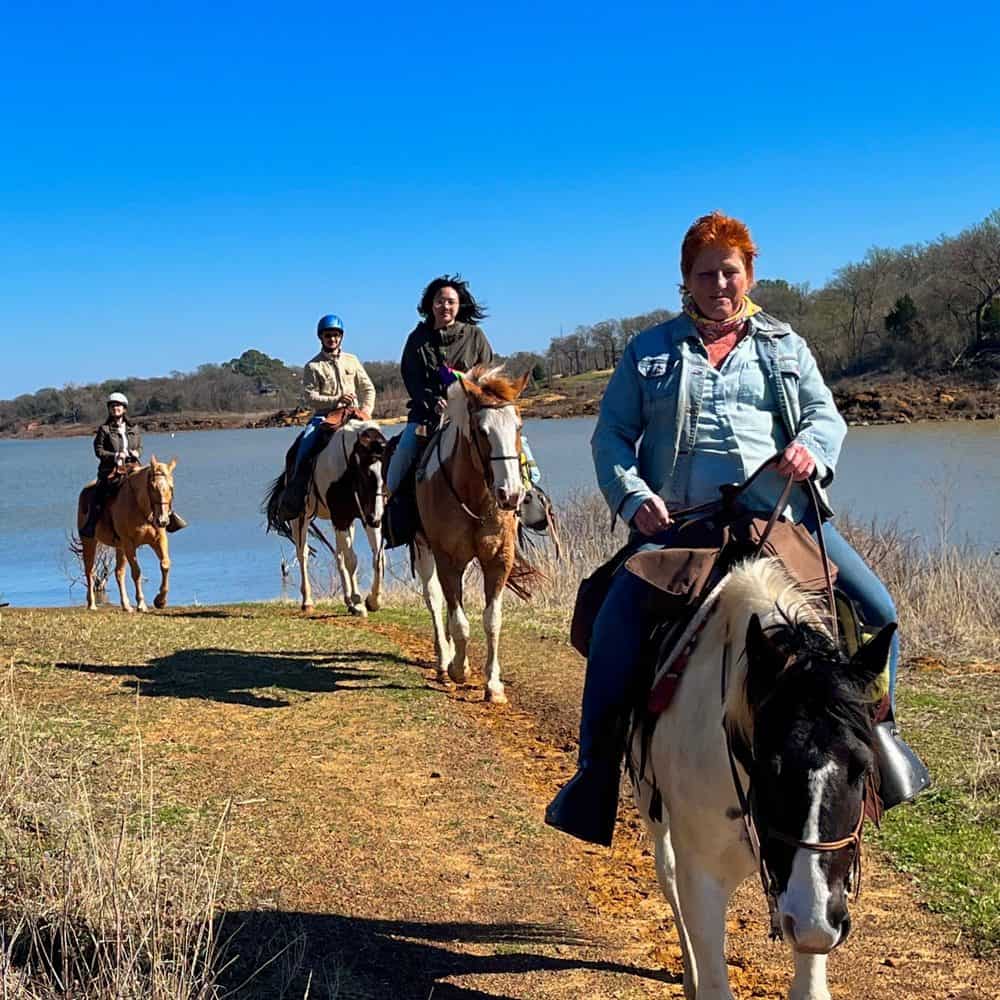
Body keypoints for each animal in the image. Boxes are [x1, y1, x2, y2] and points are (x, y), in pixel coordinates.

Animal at [75, 458, 178, 612]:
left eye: (171, 487)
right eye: (152, 487)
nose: (163, 520)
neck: (141, 507)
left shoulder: (158, 540)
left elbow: (165, 564)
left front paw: (160, 601)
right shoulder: (129, 544)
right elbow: (137, 572)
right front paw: (141, 604)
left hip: (120, 547)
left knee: (119, 573)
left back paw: (126, 605)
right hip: (90, 541)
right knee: (90, 571)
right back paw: (92, 605)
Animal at [266, 418, 386, 612]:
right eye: (366, 473)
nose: (376, 518)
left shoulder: (360, 518)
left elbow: (378, 557)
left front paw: (372, 601)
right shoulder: (342, 518)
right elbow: (352, 560)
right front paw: (359, 602)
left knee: (338, 555)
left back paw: (348, 601)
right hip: (300, 518)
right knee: (303, 554)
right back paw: (308, 601)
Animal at [414, 368, 540, 704]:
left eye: (519, 426)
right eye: (482, 431)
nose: (511, 494)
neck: (475, 496)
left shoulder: (498, 560)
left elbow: (491, 620)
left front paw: (493, 685)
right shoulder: (448, 560)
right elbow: (459, 620)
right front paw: (459, 669)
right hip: (422, 547)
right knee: (434, 600)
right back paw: (444, 662)